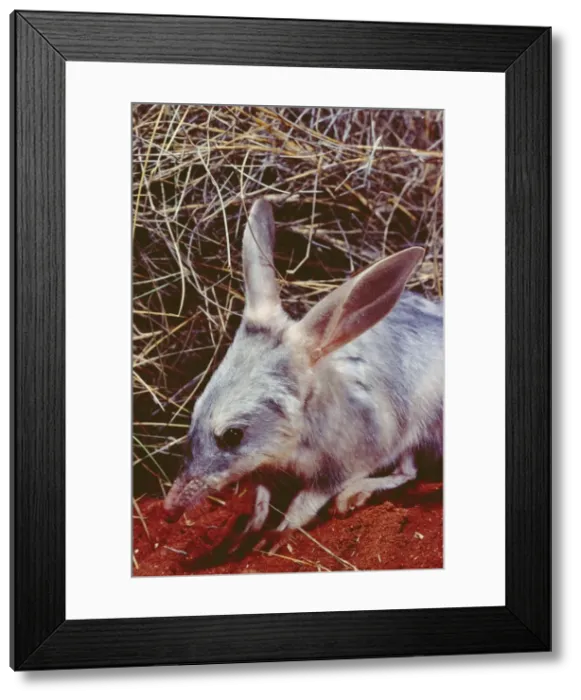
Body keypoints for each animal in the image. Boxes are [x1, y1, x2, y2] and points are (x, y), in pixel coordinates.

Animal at [163, 198, 443, 542]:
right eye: (195, 411)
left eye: (232, 435)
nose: (169, 510)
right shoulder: (265, 467)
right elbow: (261, 493)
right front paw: (252, 526)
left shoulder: (344, 463)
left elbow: (305, 501)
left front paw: (279, 534)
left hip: (423, 419)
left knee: (408, 471)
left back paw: (355, 495)